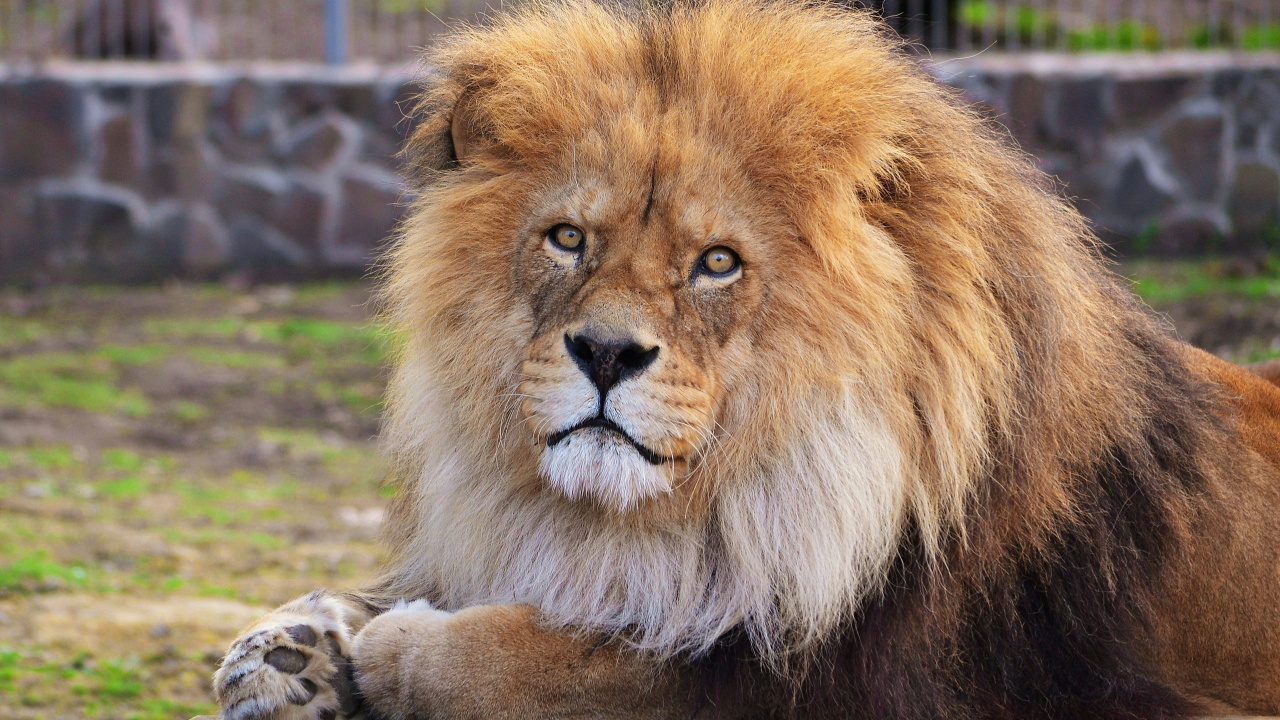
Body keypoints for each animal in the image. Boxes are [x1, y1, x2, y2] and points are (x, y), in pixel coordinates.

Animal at [210, 2, 1280, 718]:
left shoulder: (883, 678)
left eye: (717, 263)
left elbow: (602, 667)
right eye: (567, 240)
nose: (605, 351)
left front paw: (393, 650)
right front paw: (290, 649)